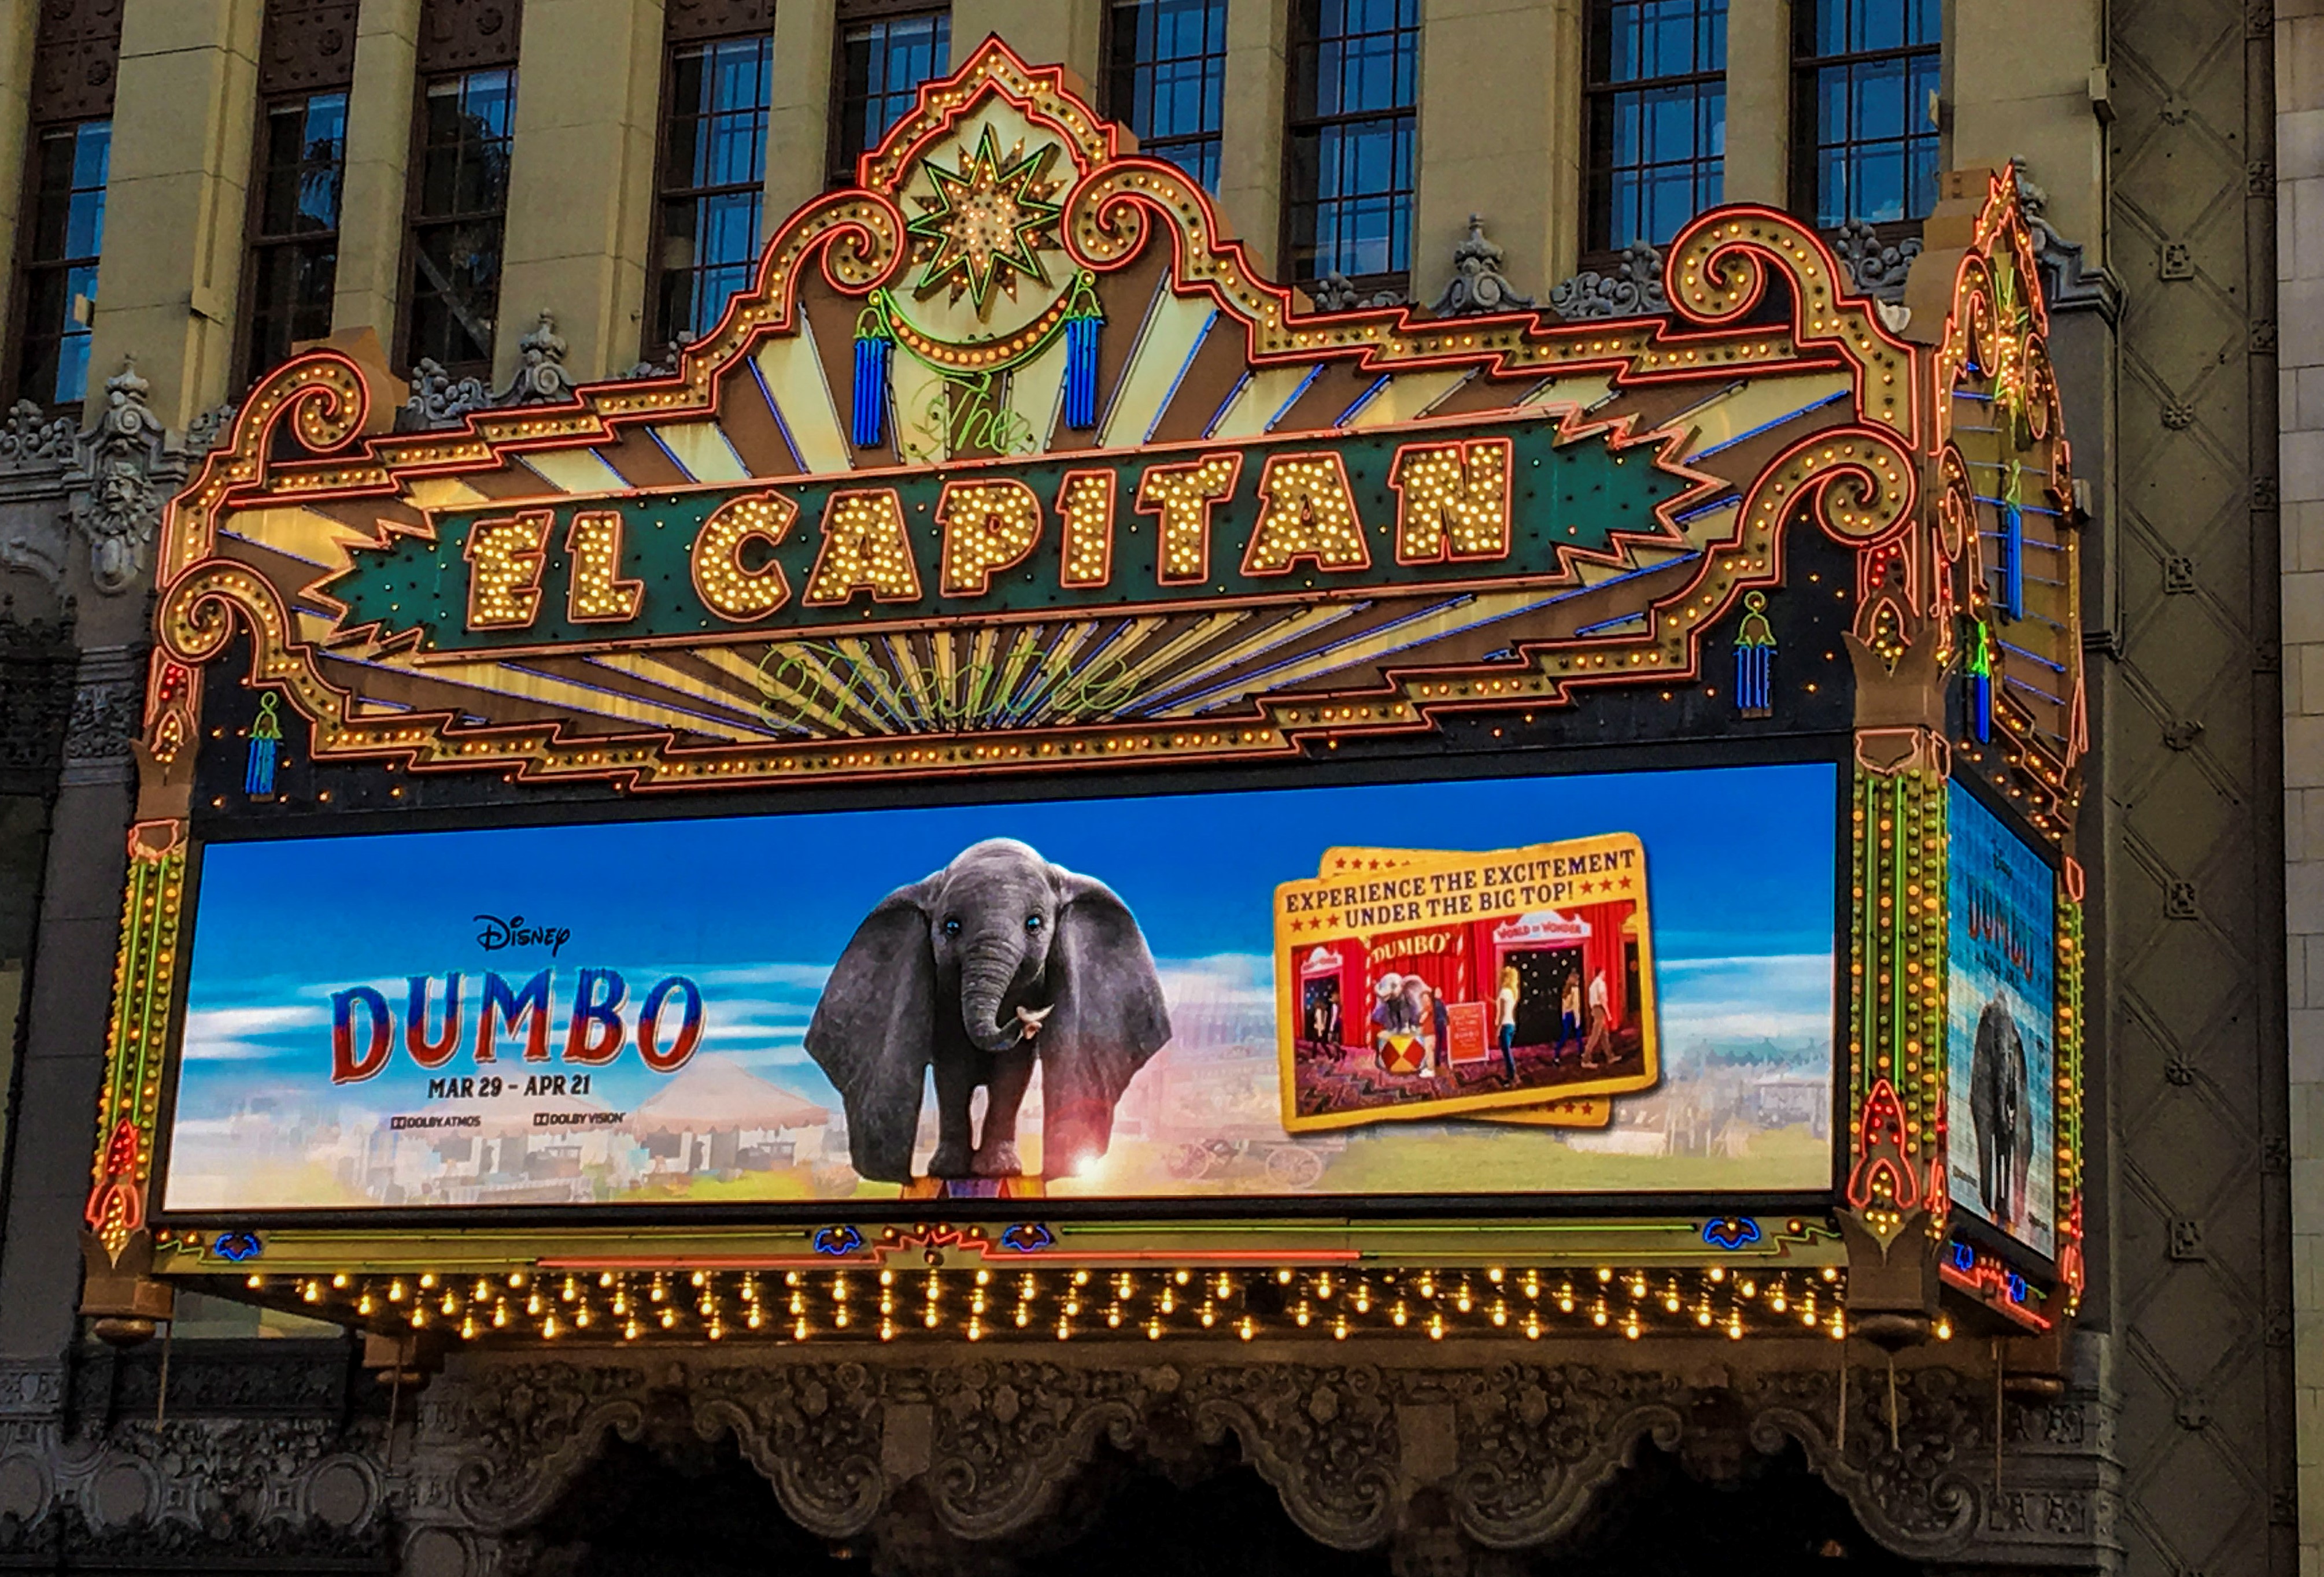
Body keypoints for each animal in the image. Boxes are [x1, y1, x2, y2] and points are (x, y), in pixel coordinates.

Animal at [804, 841, 1171, 1184]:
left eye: (1034, 924)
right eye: (951, 927)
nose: (1028, 1019)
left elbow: (1012, 1074)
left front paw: (1000, 1171)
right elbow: (952, 1072)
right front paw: (949, 1172)